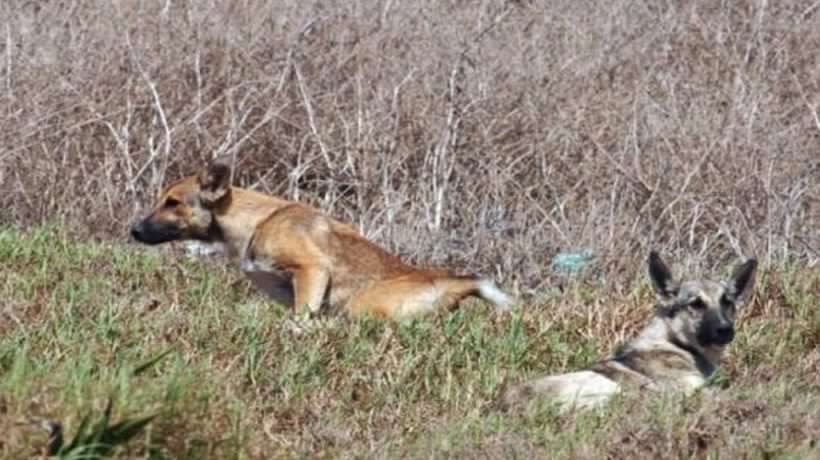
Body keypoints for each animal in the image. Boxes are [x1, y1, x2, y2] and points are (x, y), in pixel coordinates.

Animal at [130, 162, 512, 320]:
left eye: (173, 203)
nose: (134, 231)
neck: (255, 221)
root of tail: (446, 281)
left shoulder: (312, 270)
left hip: (362, 307)